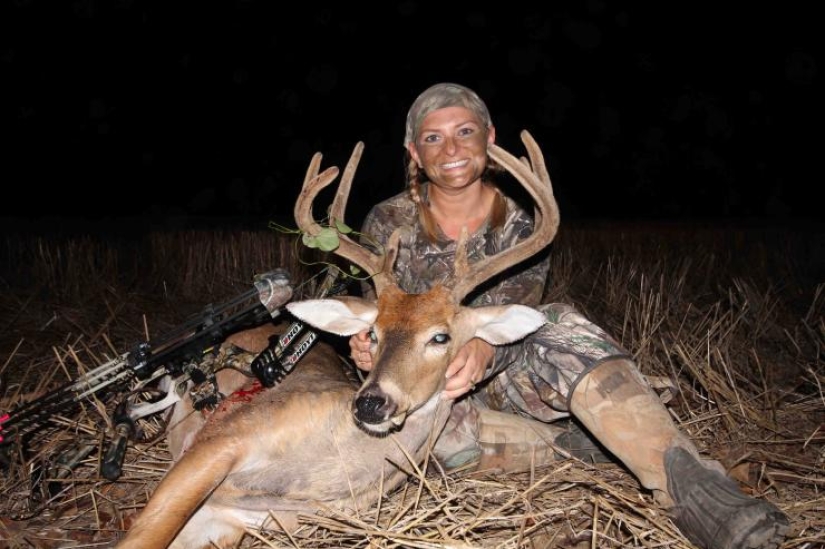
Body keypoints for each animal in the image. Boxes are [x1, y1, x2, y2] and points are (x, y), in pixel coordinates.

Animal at [116, 129, 560, 549]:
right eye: (373, 334)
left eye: (440, 337)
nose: (371, 403)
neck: (324, 465)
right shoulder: (223, 440)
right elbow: (140, 537)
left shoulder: (232, 519)